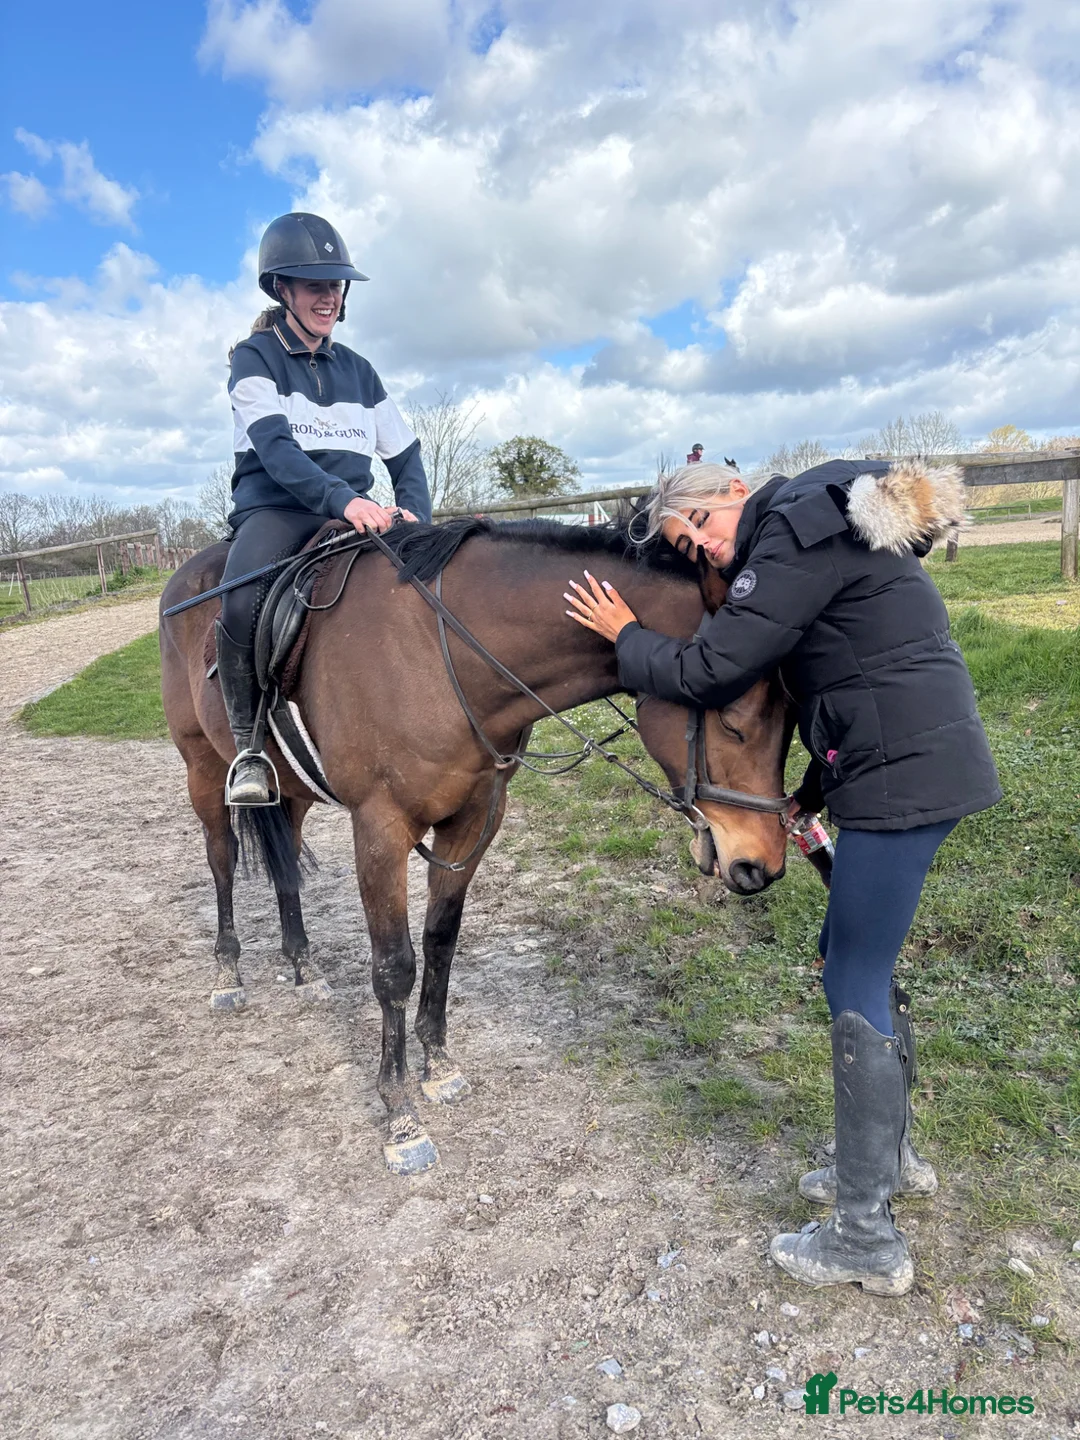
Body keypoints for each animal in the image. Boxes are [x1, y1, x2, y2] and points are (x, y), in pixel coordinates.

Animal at [159, 516, 792, 1175]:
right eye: (732, 720)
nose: (762, 864)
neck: (442, 657)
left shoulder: (474, 821)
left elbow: (441, 942)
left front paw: (438, 1066)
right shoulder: (379, 829)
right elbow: (394, 967)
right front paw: (400, 1113)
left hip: (295, 791)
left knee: (287, 864)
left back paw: (303, 962)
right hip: (203, 769)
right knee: (221, 861)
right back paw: (228, 971)